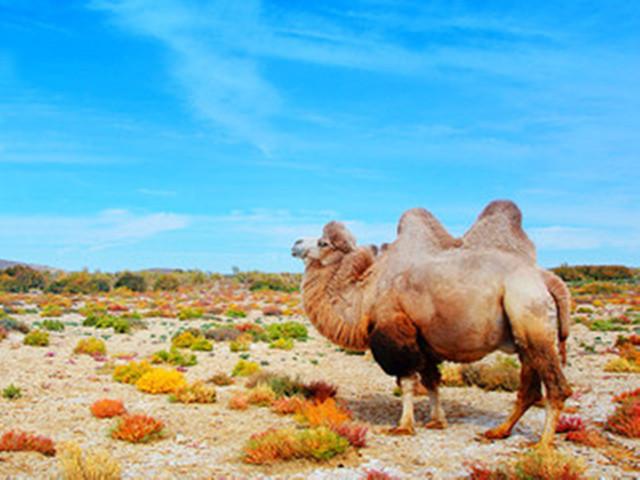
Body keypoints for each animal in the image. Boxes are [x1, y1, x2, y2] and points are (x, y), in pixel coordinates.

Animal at [290, 200, 568, 446]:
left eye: (323, 242)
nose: (295, 243)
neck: (365, 292)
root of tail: (547, 279)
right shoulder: (423, 340)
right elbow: (432, 381)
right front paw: (437, 421)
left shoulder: (396, 334)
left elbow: (407, 382)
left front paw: (404, 426)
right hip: (524, 336)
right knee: (530, 388)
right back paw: (498, 432)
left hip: (531, 316)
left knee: (556, 387)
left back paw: (542, 445)